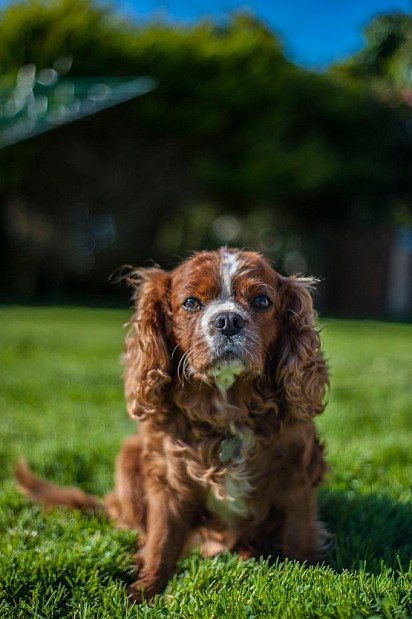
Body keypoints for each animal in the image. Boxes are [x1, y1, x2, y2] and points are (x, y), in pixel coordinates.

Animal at [16, 249, 330, 604]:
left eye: (262, 301)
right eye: (191, 302)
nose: (228, 320)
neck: (228, 410)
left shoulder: (298, 470)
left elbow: (299, 535)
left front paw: (309, 580)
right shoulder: (167, 479)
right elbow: (162, 540)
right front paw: (145, 591)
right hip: (128, 457)